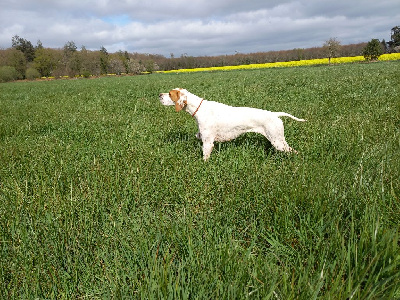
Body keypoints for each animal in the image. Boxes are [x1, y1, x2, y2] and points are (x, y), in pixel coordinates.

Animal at [158, 88, 304, 161]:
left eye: (170, 94)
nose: (159, 95)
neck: (200, 109)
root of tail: (275, 114)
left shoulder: (208, 142)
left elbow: (205, 158)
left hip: (277, 142)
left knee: (294, 152)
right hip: (279, 140)